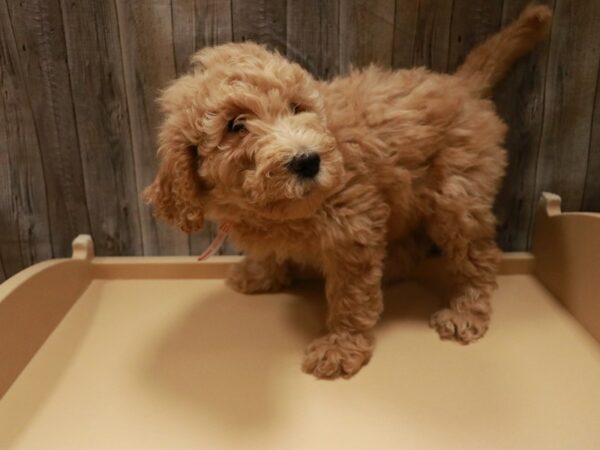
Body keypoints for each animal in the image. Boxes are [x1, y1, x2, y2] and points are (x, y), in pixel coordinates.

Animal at [145, 6, 552, 380]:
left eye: (297, 107)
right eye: (235, 126)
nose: (308, 161)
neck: (277, 208)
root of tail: (461, 85)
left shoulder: (352, 230)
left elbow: (350, 298)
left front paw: (341, 347)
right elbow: (271, 251)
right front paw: (259, 274)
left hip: (458, 196)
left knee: (478, 255)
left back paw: (466, 310)